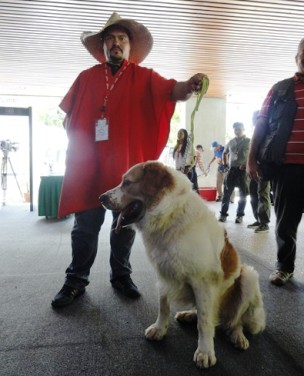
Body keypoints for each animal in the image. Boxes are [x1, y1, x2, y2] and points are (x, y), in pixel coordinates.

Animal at [99, 160, 264, 368]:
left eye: (127, 183)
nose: (101, 198)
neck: (169, 216)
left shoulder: (203, 281)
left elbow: (204, 322)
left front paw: (205, 351)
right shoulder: (163, 274)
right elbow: (164, 306)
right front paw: (159, 329)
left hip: (249, 276)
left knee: (234, 321)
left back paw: (238, 336)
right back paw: (189, 314)